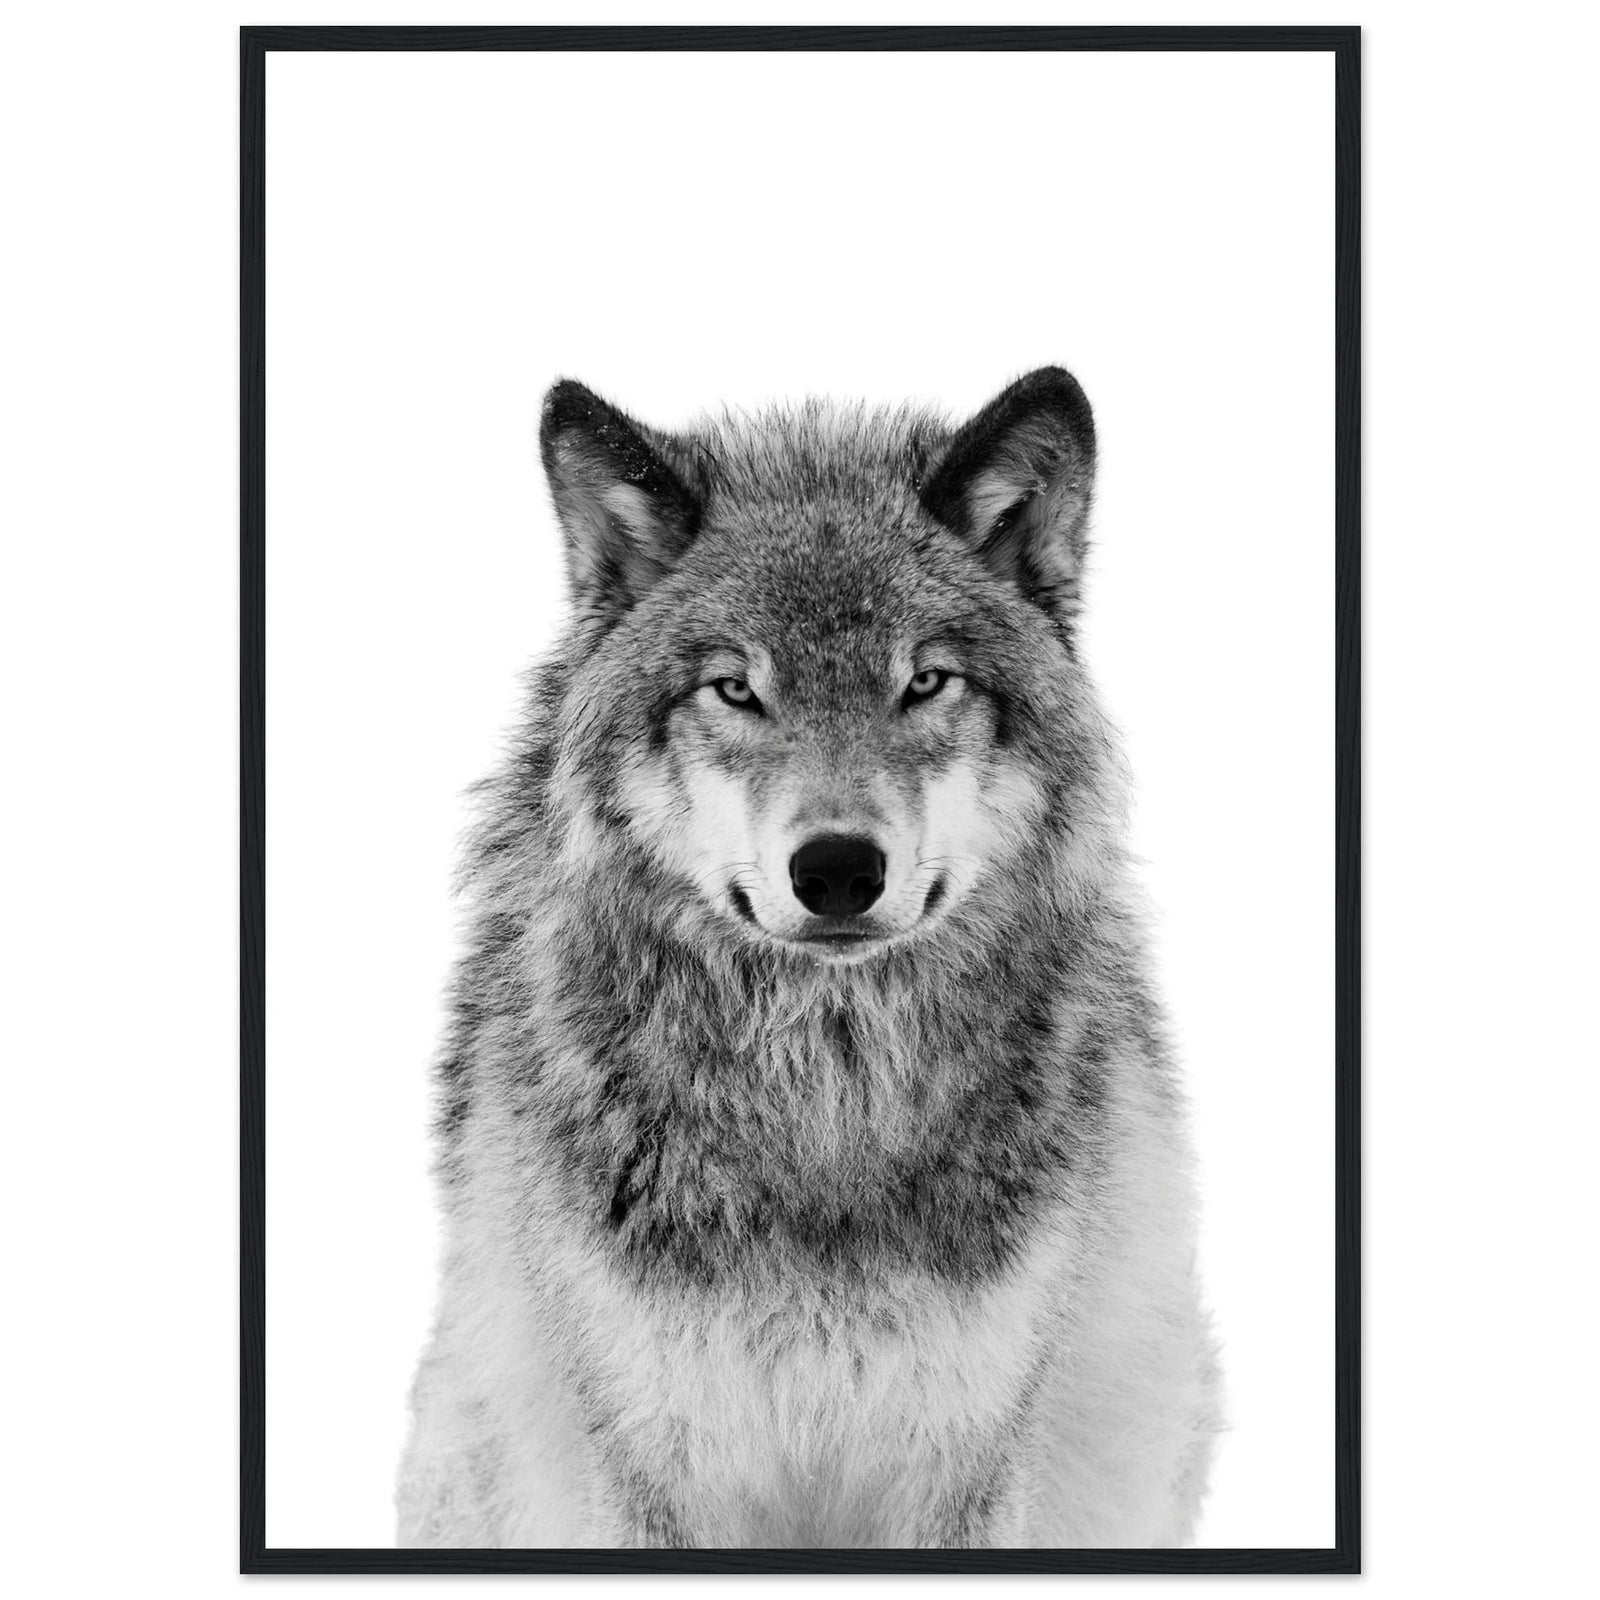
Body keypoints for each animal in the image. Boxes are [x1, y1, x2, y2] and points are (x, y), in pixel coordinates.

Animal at [395, 368, 1221, 1549]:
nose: (836, 869)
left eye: (925, 681)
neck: (824, 1107)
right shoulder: (647, 1458)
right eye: (737, 689)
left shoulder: (968, 1456)